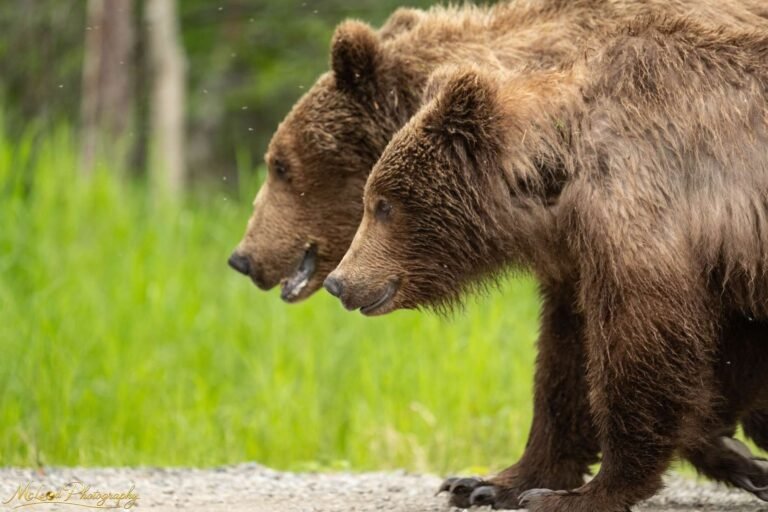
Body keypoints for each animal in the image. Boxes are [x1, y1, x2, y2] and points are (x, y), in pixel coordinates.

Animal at [325, 15, 768, 511]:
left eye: (383, 204)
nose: (338, 281)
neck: (558, 182)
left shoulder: (645, 214)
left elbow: (640, 347)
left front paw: (581, 493)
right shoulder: (586, 258)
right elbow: (567, 359)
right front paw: (486, 483)